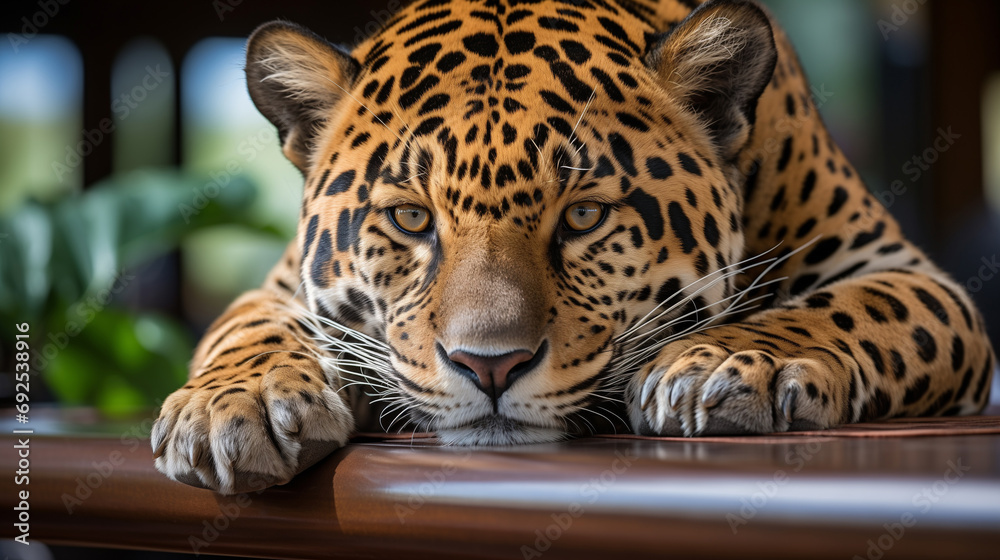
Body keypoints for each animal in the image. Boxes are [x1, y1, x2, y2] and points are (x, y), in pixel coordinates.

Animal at [152, 0, 995, 494]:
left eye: (584, 216)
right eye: (414, 221)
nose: (490, 366)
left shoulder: (904, 273)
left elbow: (844, 311)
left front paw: (724, 364)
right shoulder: (280, 287)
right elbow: (247, 328)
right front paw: (234, 406)